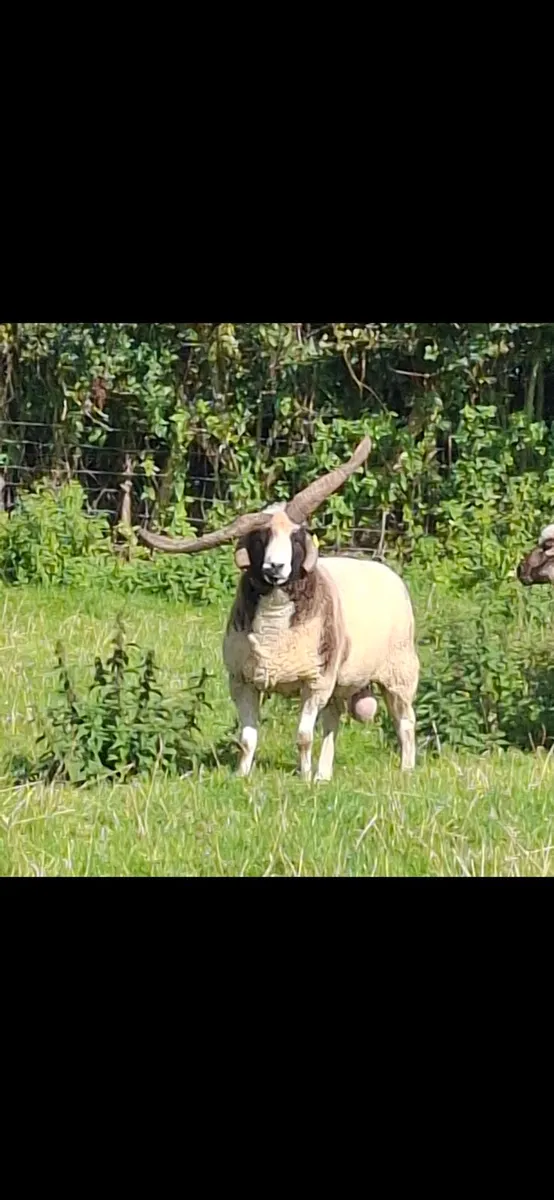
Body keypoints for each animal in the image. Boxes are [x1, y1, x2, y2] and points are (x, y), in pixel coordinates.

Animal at [138, 438, 419, 782]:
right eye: (261, 538)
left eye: (296, 538)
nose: (275, 567)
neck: (275, 629)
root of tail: (384, 570)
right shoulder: (242, 682)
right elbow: (247, 739)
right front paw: (242, 776)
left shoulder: (315, 682)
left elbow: (303, 737)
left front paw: (303, 777)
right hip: (342, 683)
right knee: (333, 723)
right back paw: (324, 776)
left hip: (399, 672)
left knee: (405, 722)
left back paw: (406, 769)